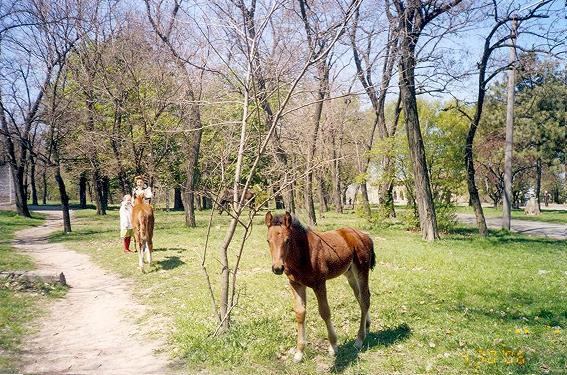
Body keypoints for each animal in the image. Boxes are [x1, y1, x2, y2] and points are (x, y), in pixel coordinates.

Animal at [266, 212, 378, 362]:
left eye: (287, 240)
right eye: (268, 240)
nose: (277, 268)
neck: (304, 254)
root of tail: (364, 236)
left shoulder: (319, 283)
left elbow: (325, 312)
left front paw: (333, 346)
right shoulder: (295, 284)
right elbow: (300, 313)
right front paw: (299, 352)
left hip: (361, 270)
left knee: (365, 299)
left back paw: (359, 340)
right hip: (349, 274)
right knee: (360, 297)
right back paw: (367, 325)